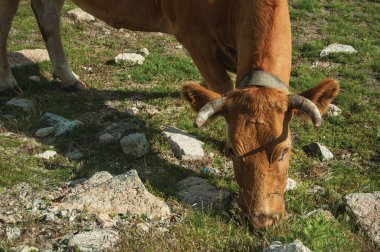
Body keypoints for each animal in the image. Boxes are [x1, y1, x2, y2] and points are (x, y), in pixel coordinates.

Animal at [0, 0, 338, 228]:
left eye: (285, 151)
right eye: (232, 151)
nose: (262, 219)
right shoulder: (195, 37)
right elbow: (221, 89)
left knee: (47, 14)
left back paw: (69, 79)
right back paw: (8, 83)